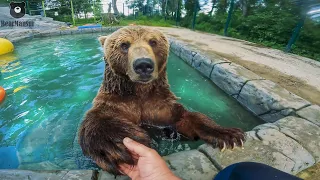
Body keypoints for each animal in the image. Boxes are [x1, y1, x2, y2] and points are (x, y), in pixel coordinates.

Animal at [79, 26, 245, 175]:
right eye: (124, 45)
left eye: (153, 41)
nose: (143, 64)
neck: (140, 92)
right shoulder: (117, 102)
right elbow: (98, 121)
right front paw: (117, 144)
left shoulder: (159, 106)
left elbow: (185, 119)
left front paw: (230, 135)